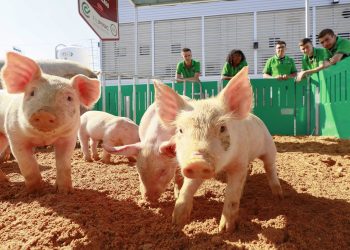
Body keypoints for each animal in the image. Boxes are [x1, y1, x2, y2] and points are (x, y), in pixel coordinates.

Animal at [0, 51, 101, 192]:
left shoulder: (69, 137)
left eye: (69, 98)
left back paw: (5, 180)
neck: (44, 137)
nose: (44, 112)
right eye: (32, 93)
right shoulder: (15, 136)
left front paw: (64, 191)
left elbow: (63, 163)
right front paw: (36, 191)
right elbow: (28, 164)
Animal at [154, 66, 284, 232]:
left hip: (269, 147)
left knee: (270, 168)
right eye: (180, 130)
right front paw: (176, 222)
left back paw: (278, 196)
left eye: (222, 128)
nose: (197, 161)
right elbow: (187, 188)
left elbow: (232, 194)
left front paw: (225, 230)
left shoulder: (239, 163)